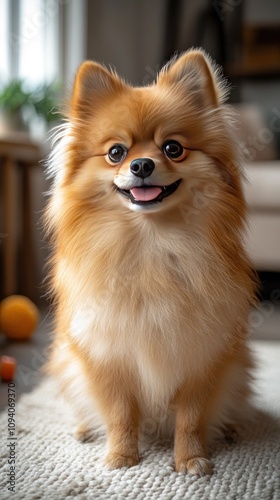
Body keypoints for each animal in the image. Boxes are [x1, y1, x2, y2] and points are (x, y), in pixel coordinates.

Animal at [45, 47, 256, 476]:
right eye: (116, 152)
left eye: (173, 148)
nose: (141, 165)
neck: (151, 244)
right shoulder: (109, 354)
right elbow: (120, 413)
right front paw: (122, 455)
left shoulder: (202, 355)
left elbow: (191, 417)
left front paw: (190, 459)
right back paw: (84, 428)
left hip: (238, 368)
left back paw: (231, 428)